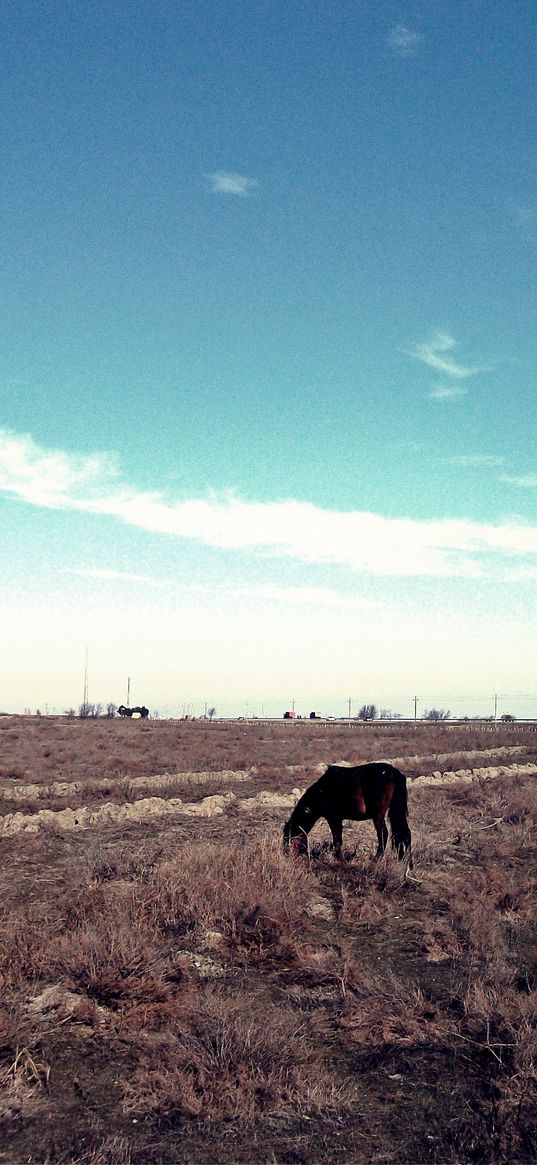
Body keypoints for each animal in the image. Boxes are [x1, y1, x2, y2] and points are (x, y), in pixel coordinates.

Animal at [283, 764, 412, 866]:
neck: (321, 792)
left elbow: (337, 841)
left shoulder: (334, 818)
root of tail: (394, 773)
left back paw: (376, 860)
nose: (287, 856)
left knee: (383, 834)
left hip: (378, 815)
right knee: (405, 833)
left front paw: (341, 861)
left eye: (288, 837)